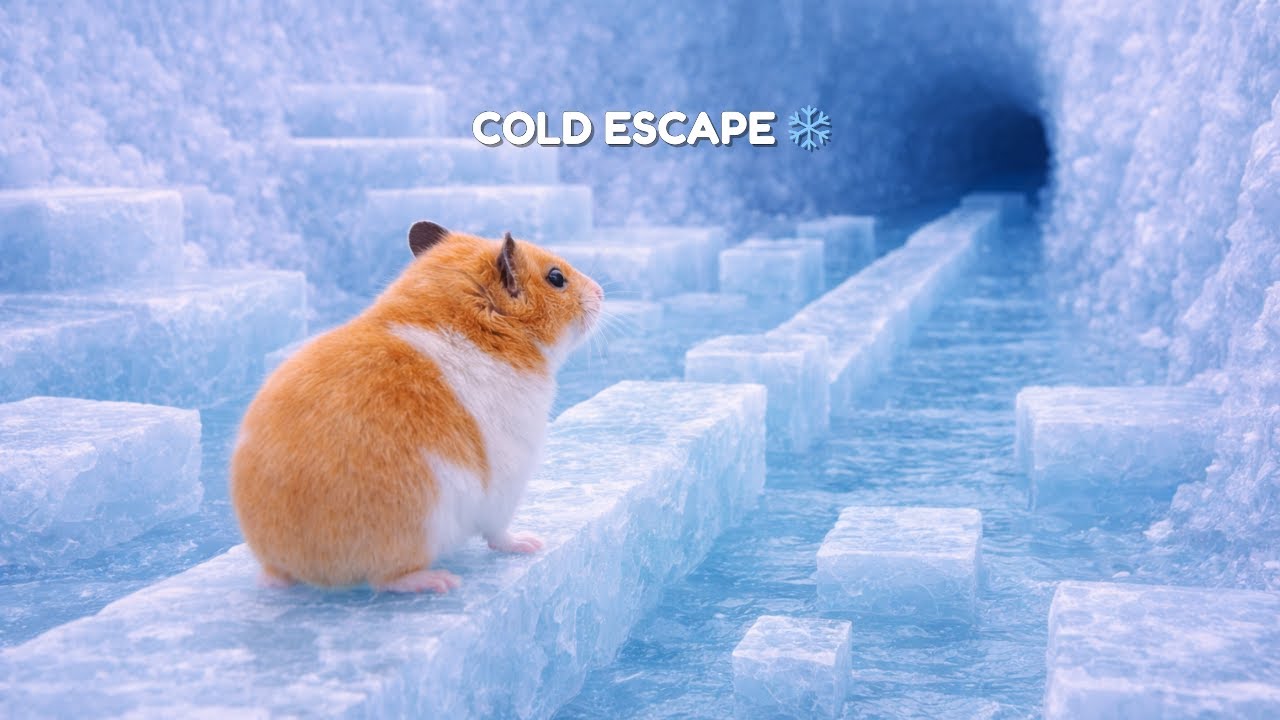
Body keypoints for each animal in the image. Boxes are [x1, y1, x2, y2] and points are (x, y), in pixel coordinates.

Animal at [230, 222, 603, 593]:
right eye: (556, 278)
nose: (600, 292)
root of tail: (293, 561)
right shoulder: (508, 476)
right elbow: (498, 532)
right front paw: (532, 543)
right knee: (387, 578)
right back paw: (440, 580)